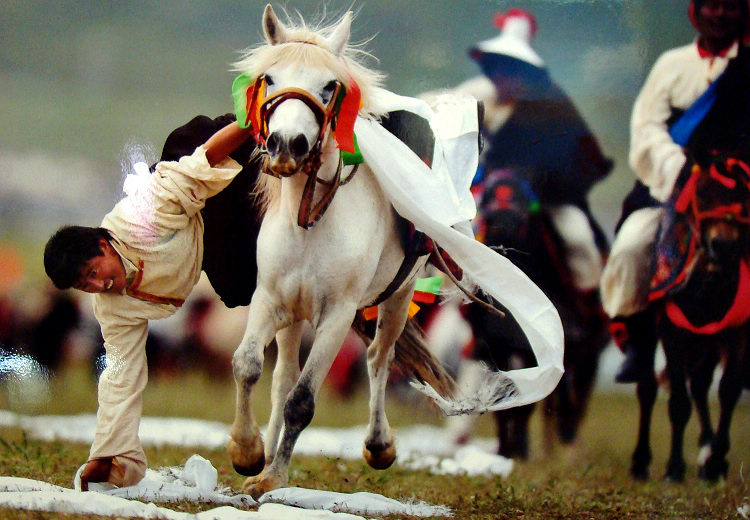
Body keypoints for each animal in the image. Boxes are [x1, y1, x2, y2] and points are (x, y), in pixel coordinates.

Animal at [225, 5, 563, 498]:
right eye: (269, 78)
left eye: (329, 86)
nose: (288, 145)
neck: (312, 220)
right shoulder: (270, 300)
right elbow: (249, 366)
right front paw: (249, 453)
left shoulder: (337, 316)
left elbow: (302, 400)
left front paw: (274, 475)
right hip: (294, 315)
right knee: (283, 374)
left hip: (398, 300)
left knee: (378, 360)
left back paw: (378, 444)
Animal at [459, 169, 610, 458]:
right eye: (489, 210)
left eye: (522, 213)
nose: (501, 232)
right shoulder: (498, 346)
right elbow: (506, 394)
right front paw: (507, 447)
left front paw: (518, 446)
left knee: (577, 393)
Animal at [630, 149, 750, 482]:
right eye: (703, 194)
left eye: (742, 195)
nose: (722, 244)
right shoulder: (672, 331)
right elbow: (678, 401)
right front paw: (673, 468)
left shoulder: (735, 332)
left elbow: (729, 389)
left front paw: (715, 462)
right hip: (647, 333)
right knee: (648, 388)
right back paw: (641, 462)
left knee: (699, 383)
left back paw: (707, 451)